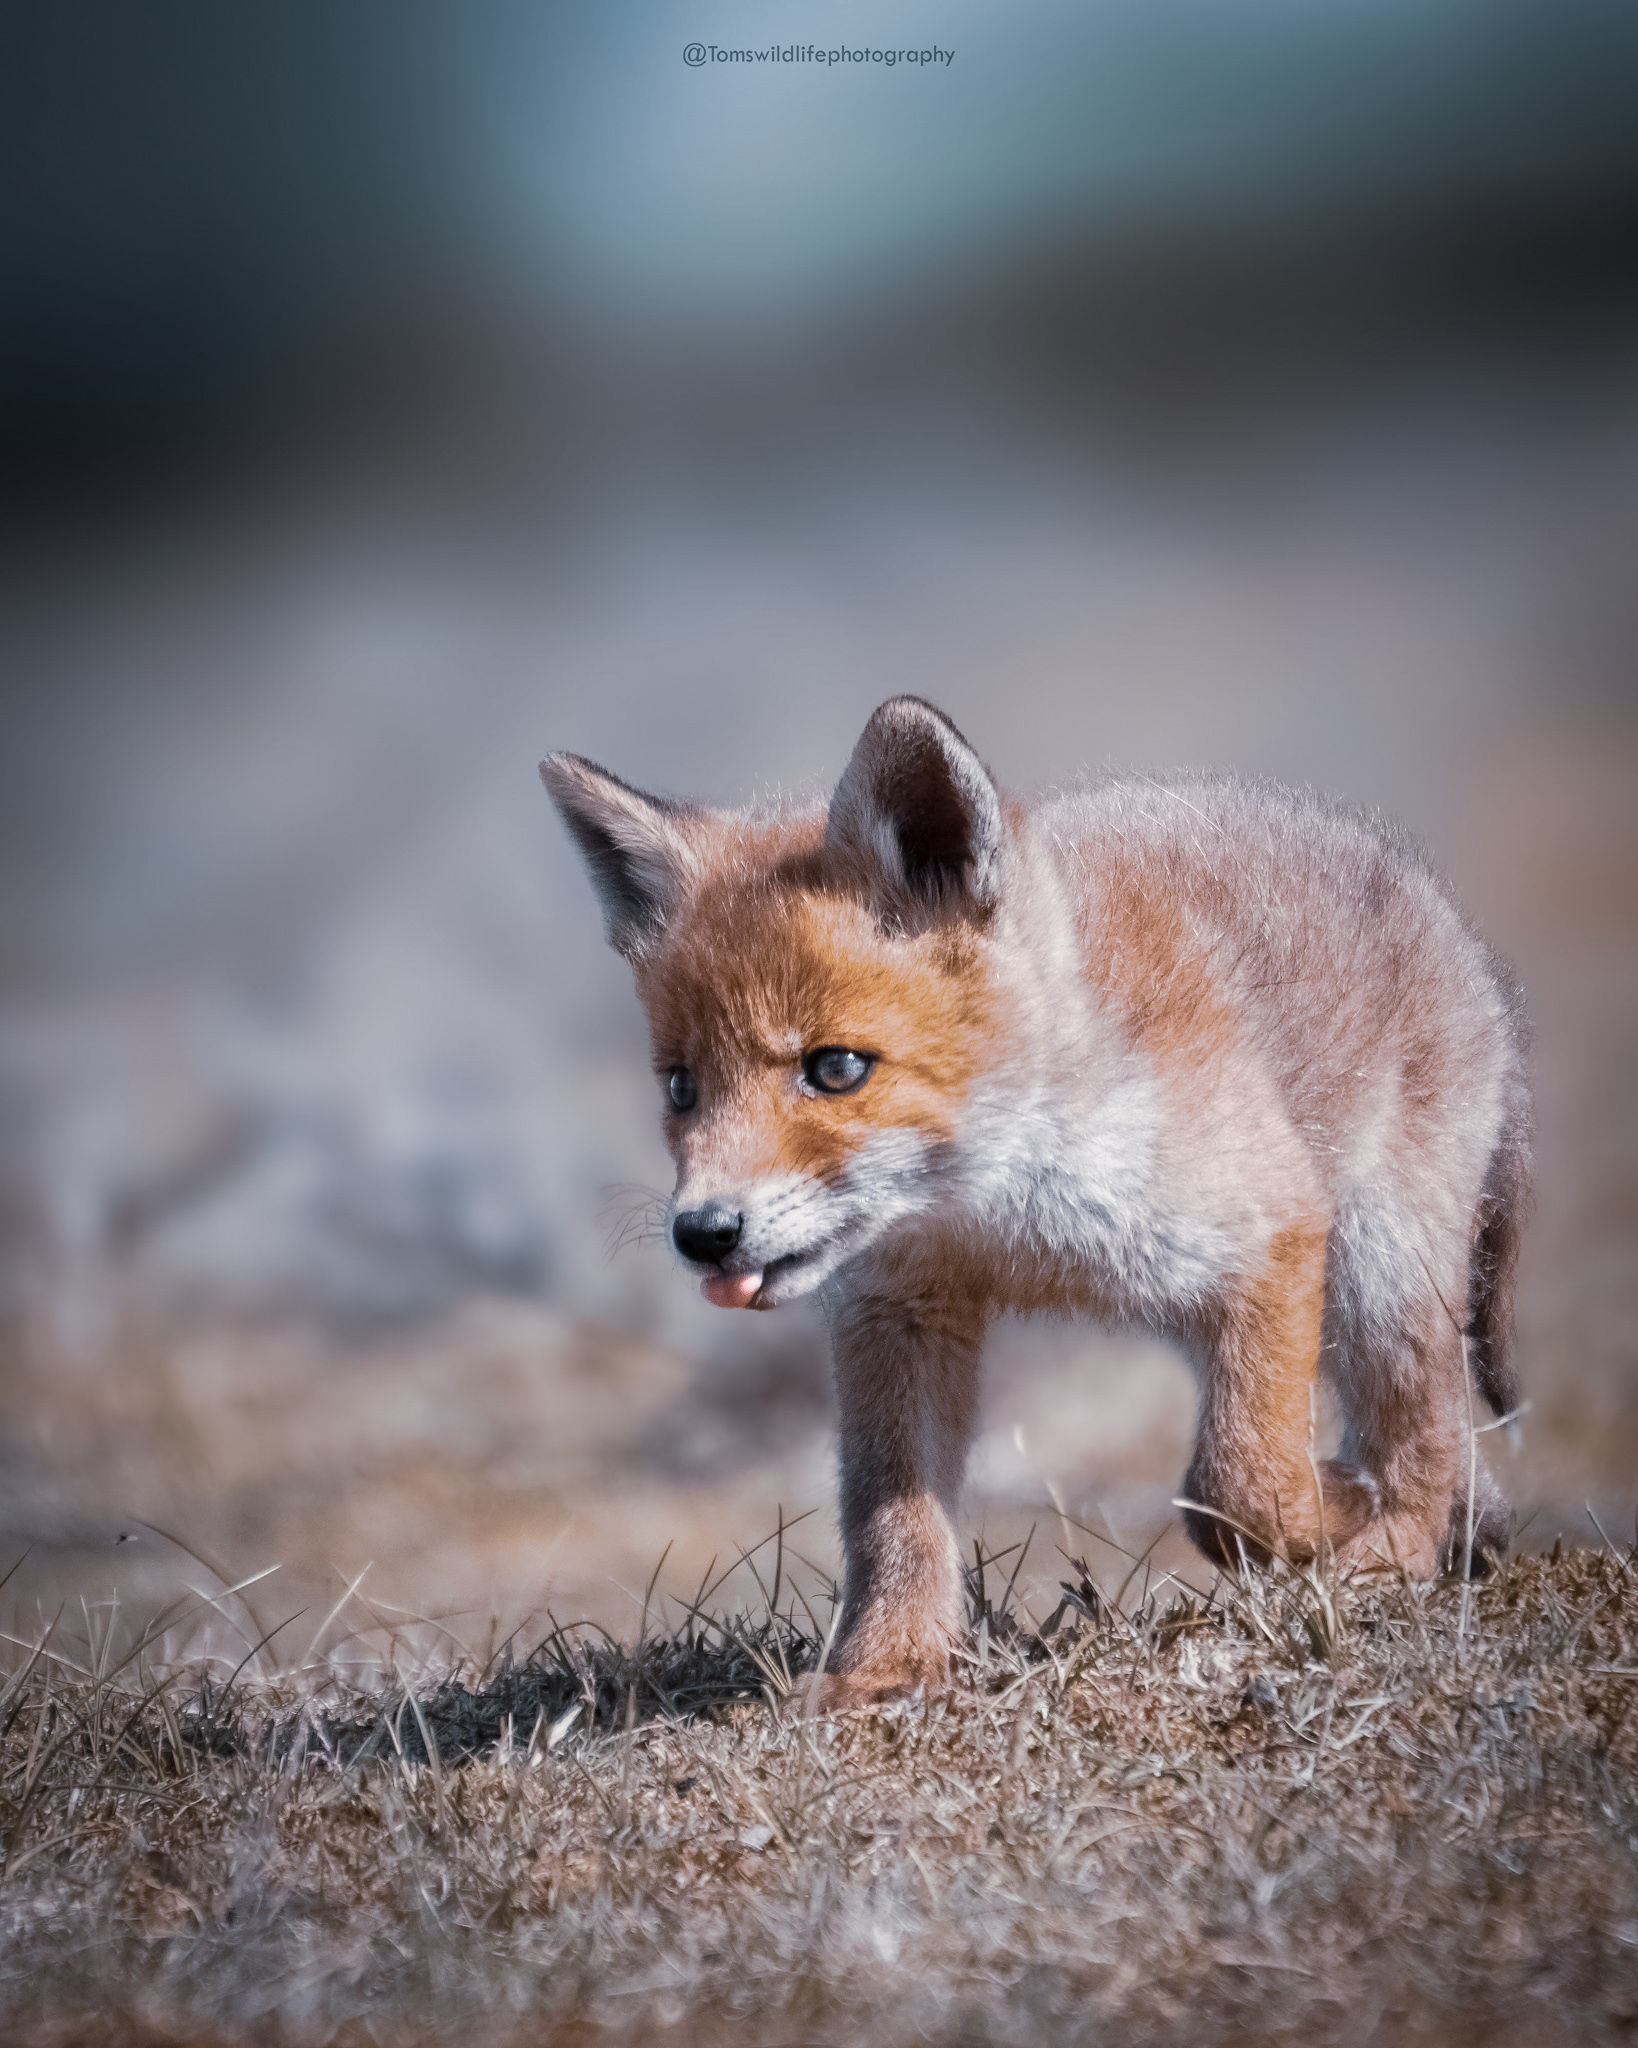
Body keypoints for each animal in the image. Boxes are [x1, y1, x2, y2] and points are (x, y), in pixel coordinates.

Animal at [540, 696, 1530, 1709]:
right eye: (681, 1088)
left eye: (837, 1068)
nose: (703, 1234)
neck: (998, 1214)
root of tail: (1458, 933)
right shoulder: (899, 1311)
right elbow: (893, 1520)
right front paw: (890, 1665)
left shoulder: (1271, 1229)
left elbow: (1237, 1485)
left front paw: (1335, 1511)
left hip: (1378, 1274)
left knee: (1426, 1432)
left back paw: (1397, 1548)